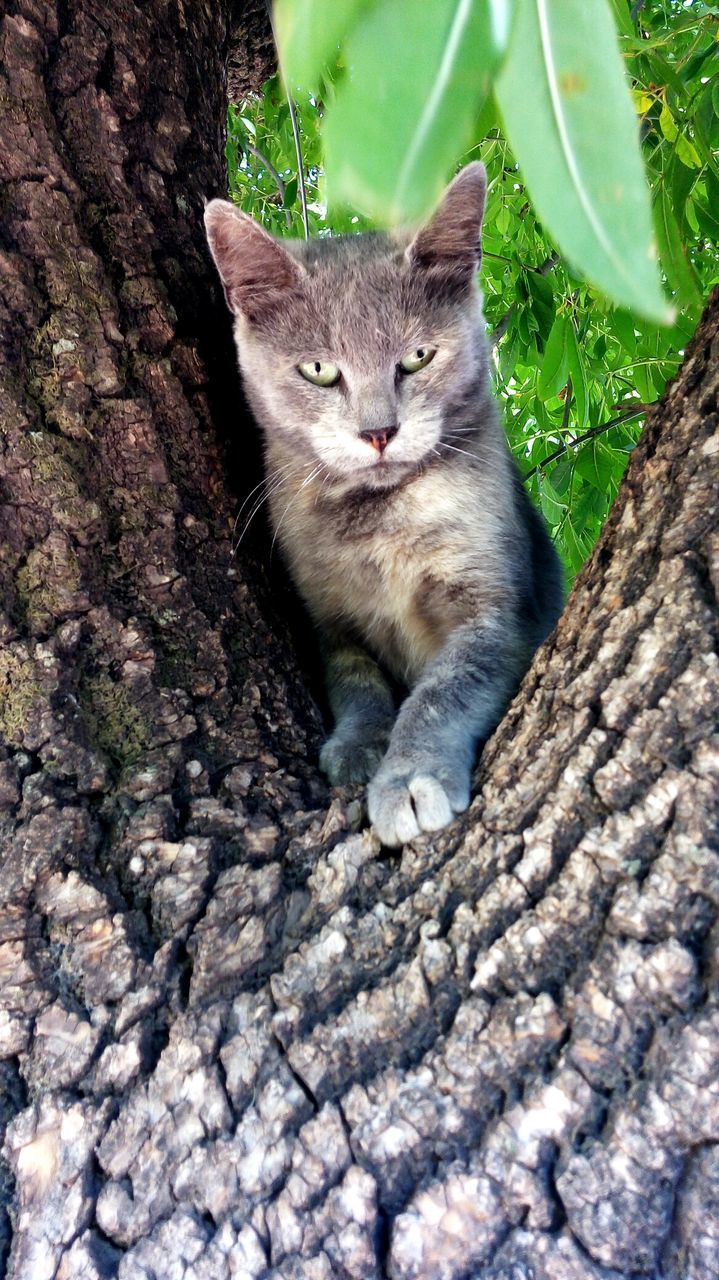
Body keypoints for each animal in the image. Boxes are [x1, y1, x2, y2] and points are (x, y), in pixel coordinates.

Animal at [204, 167, 562, 849]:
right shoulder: (326, 617)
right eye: (319, 370)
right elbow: (354, 678)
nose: (378, 432)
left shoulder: (499, 611)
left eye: (417, 357)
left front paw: (409, 778)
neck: (380, 520)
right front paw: (358, 746)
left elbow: (445, 690)